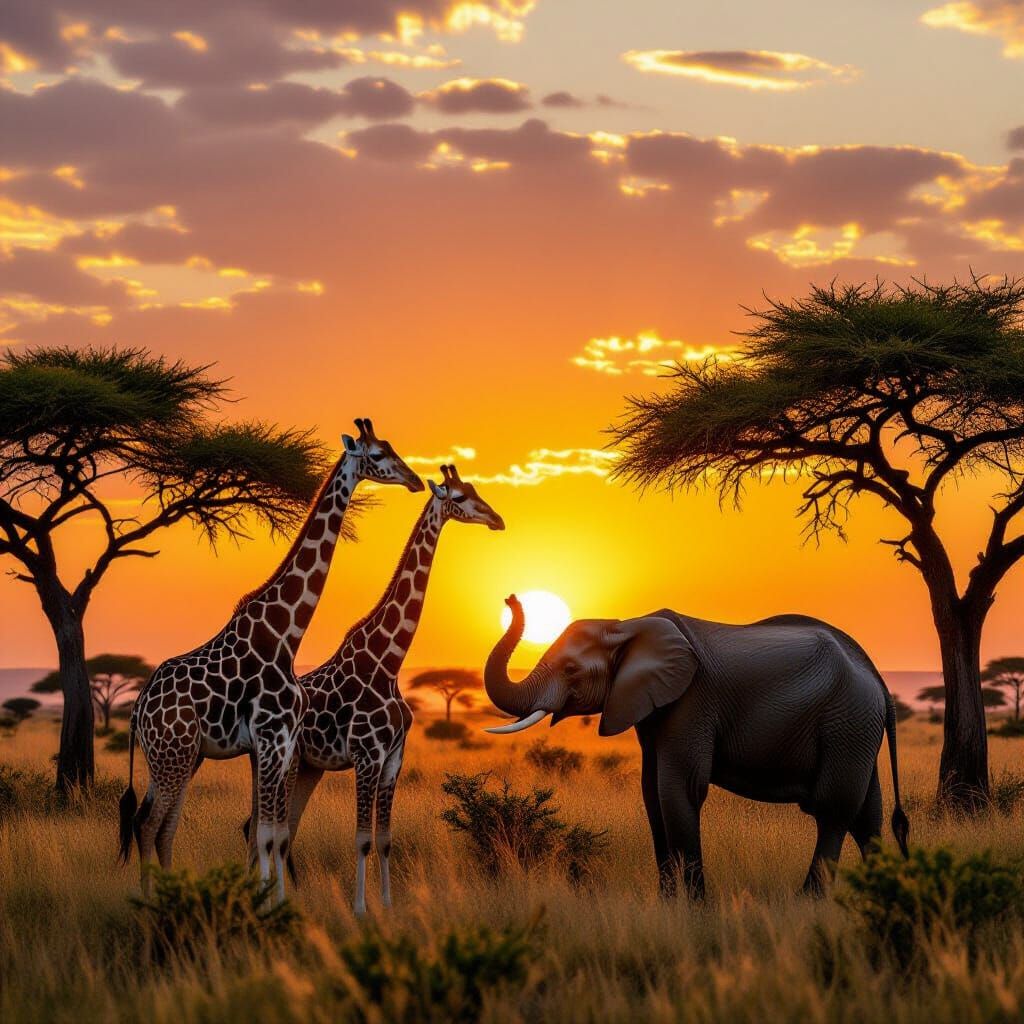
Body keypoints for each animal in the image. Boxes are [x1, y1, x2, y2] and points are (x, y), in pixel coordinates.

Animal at [118, 418, 423, 902]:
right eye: (377, 455)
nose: (414, 480)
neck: (286, 634)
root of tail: (137, 711)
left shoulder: (274, 744)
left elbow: (268, 831)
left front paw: (267, 899)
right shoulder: (273, 737)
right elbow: (266, 832)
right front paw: (270, 902)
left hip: (182, 756)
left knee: (164, 827)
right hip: (173, 754)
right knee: (147, 824)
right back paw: (153, 904)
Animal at [274, 463, 503, 913]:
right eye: (461, 497)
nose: (497, 520)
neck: (388, 662)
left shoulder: (394, 758)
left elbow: (384, 841)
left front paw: (388, 905)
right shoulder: (367, 755)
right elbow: (363, 840)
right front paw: (361, 909)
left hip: (309, 766)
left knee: (283, 826)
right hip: (287, 761)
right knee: (264, 826)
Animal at [483, 595, 910, 898]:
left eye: (571, 670)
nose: (509, 599)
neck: (627, 625)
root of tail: (878, 679)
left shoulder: (692, 701)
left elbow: (680, 790)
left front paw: (696, 907)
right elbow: (652, 792)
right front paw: (669, 903)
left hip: (847, 720)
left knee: (833, 809)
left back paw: (810, 900)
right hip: (856, 730)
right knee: (867, 812)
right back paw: (880, 891)